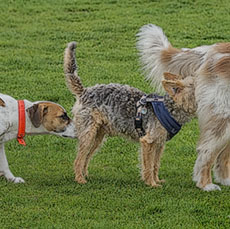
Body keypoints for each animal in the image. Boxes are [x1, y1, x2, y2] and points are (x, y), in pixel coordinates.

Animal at [63, 41, 197, 188]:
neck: (168, 109)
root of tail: (84, 91)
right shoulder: (148, 142)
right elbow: (148, 166)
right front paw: (151, 184)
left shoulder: (159, 144)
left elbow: (155, 165)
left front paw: (157, 180)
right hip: (88, 135)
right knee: (78, 159)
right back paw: (80, 179)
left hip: (98, 137)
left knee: (86, 157)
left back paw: (85, 175)